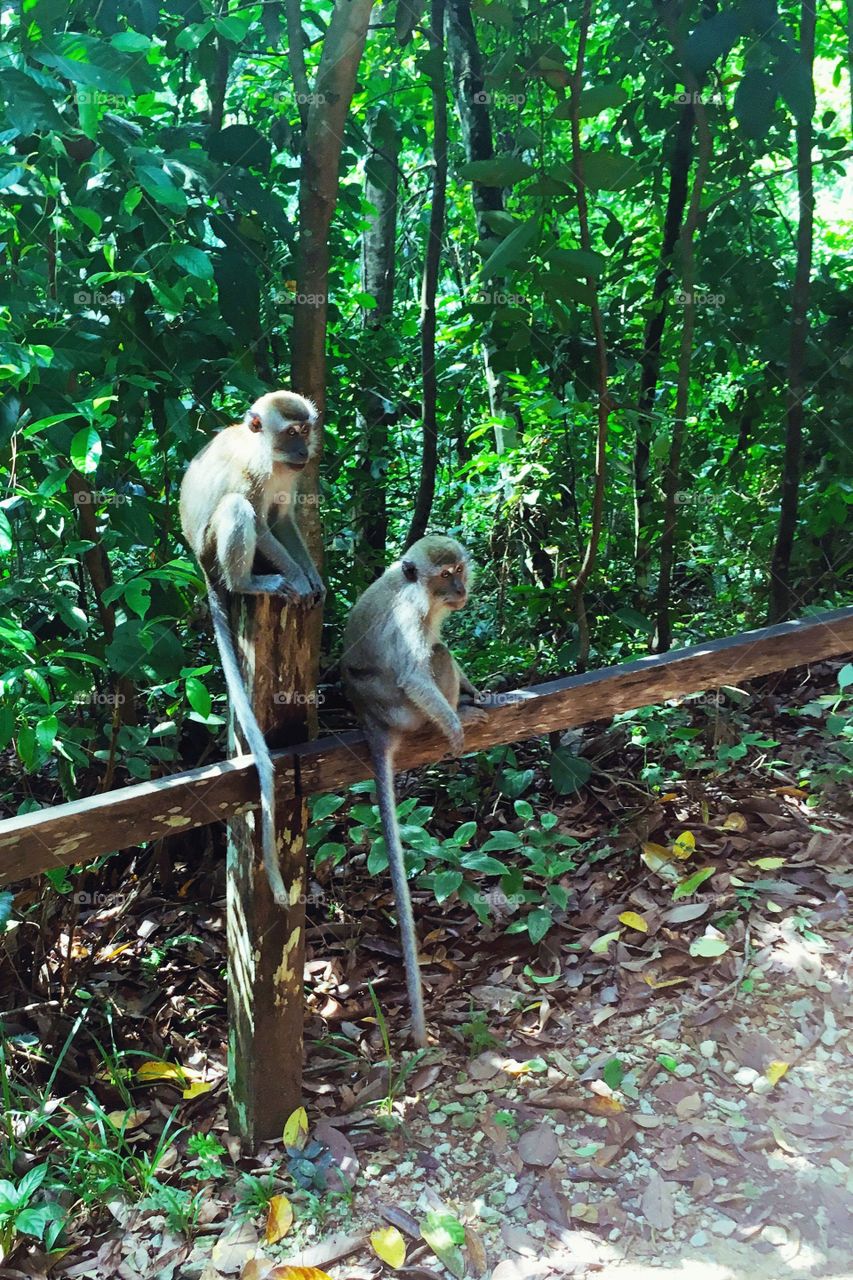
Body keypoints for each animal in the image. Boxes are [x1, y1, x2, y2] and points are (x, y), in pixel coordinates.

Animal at [179, 390, 325, 906]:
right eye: (290, 432)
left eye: (305, 431)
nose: (302, 450)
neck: (271, 456)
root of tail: (200, 564)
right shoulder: (255, 472)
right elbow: (261, 524)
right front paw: (298, 579)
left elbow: (284, 521)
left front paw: (315, 579)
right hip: (213, 549)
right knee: (237, 510)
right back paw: (252, 582)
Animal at [341, 535, 488, 1046]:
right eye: (444, 575)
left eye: (460, 569)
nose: (461, 589)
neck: (420, 591)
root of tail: (371, 719)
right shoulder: (410, 614)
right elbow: (414, 673)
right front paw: (457, 724)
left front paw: (476, 691)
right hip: (403, 712)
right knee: (435, 654)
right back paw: (455, 713)